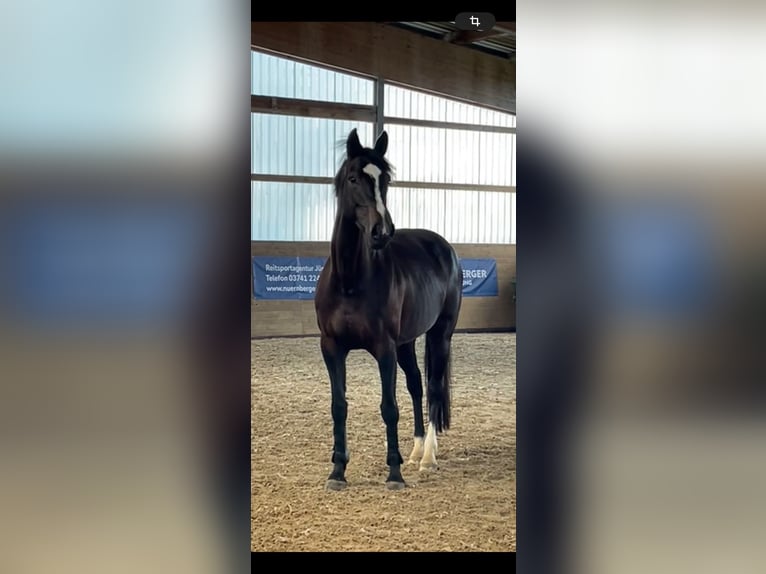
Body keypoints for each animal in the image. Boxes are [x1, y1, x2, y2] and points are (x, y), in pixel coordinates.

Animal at [314, 128, 463, 490]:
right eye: (354, 178)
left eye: (386, 179)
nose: (382, 232)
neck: (350, 280)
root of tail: (445, 248)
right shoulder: (332, 347)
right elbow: (339, 406)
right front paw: (337, 471)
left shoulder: (384, 348)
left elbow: (389, 406)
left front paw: (394, 473)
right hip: (406, 343)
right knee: (417, 385)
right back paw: (417, 449)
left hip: (440, 335)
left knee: (433, 389)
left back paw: (427, 458)